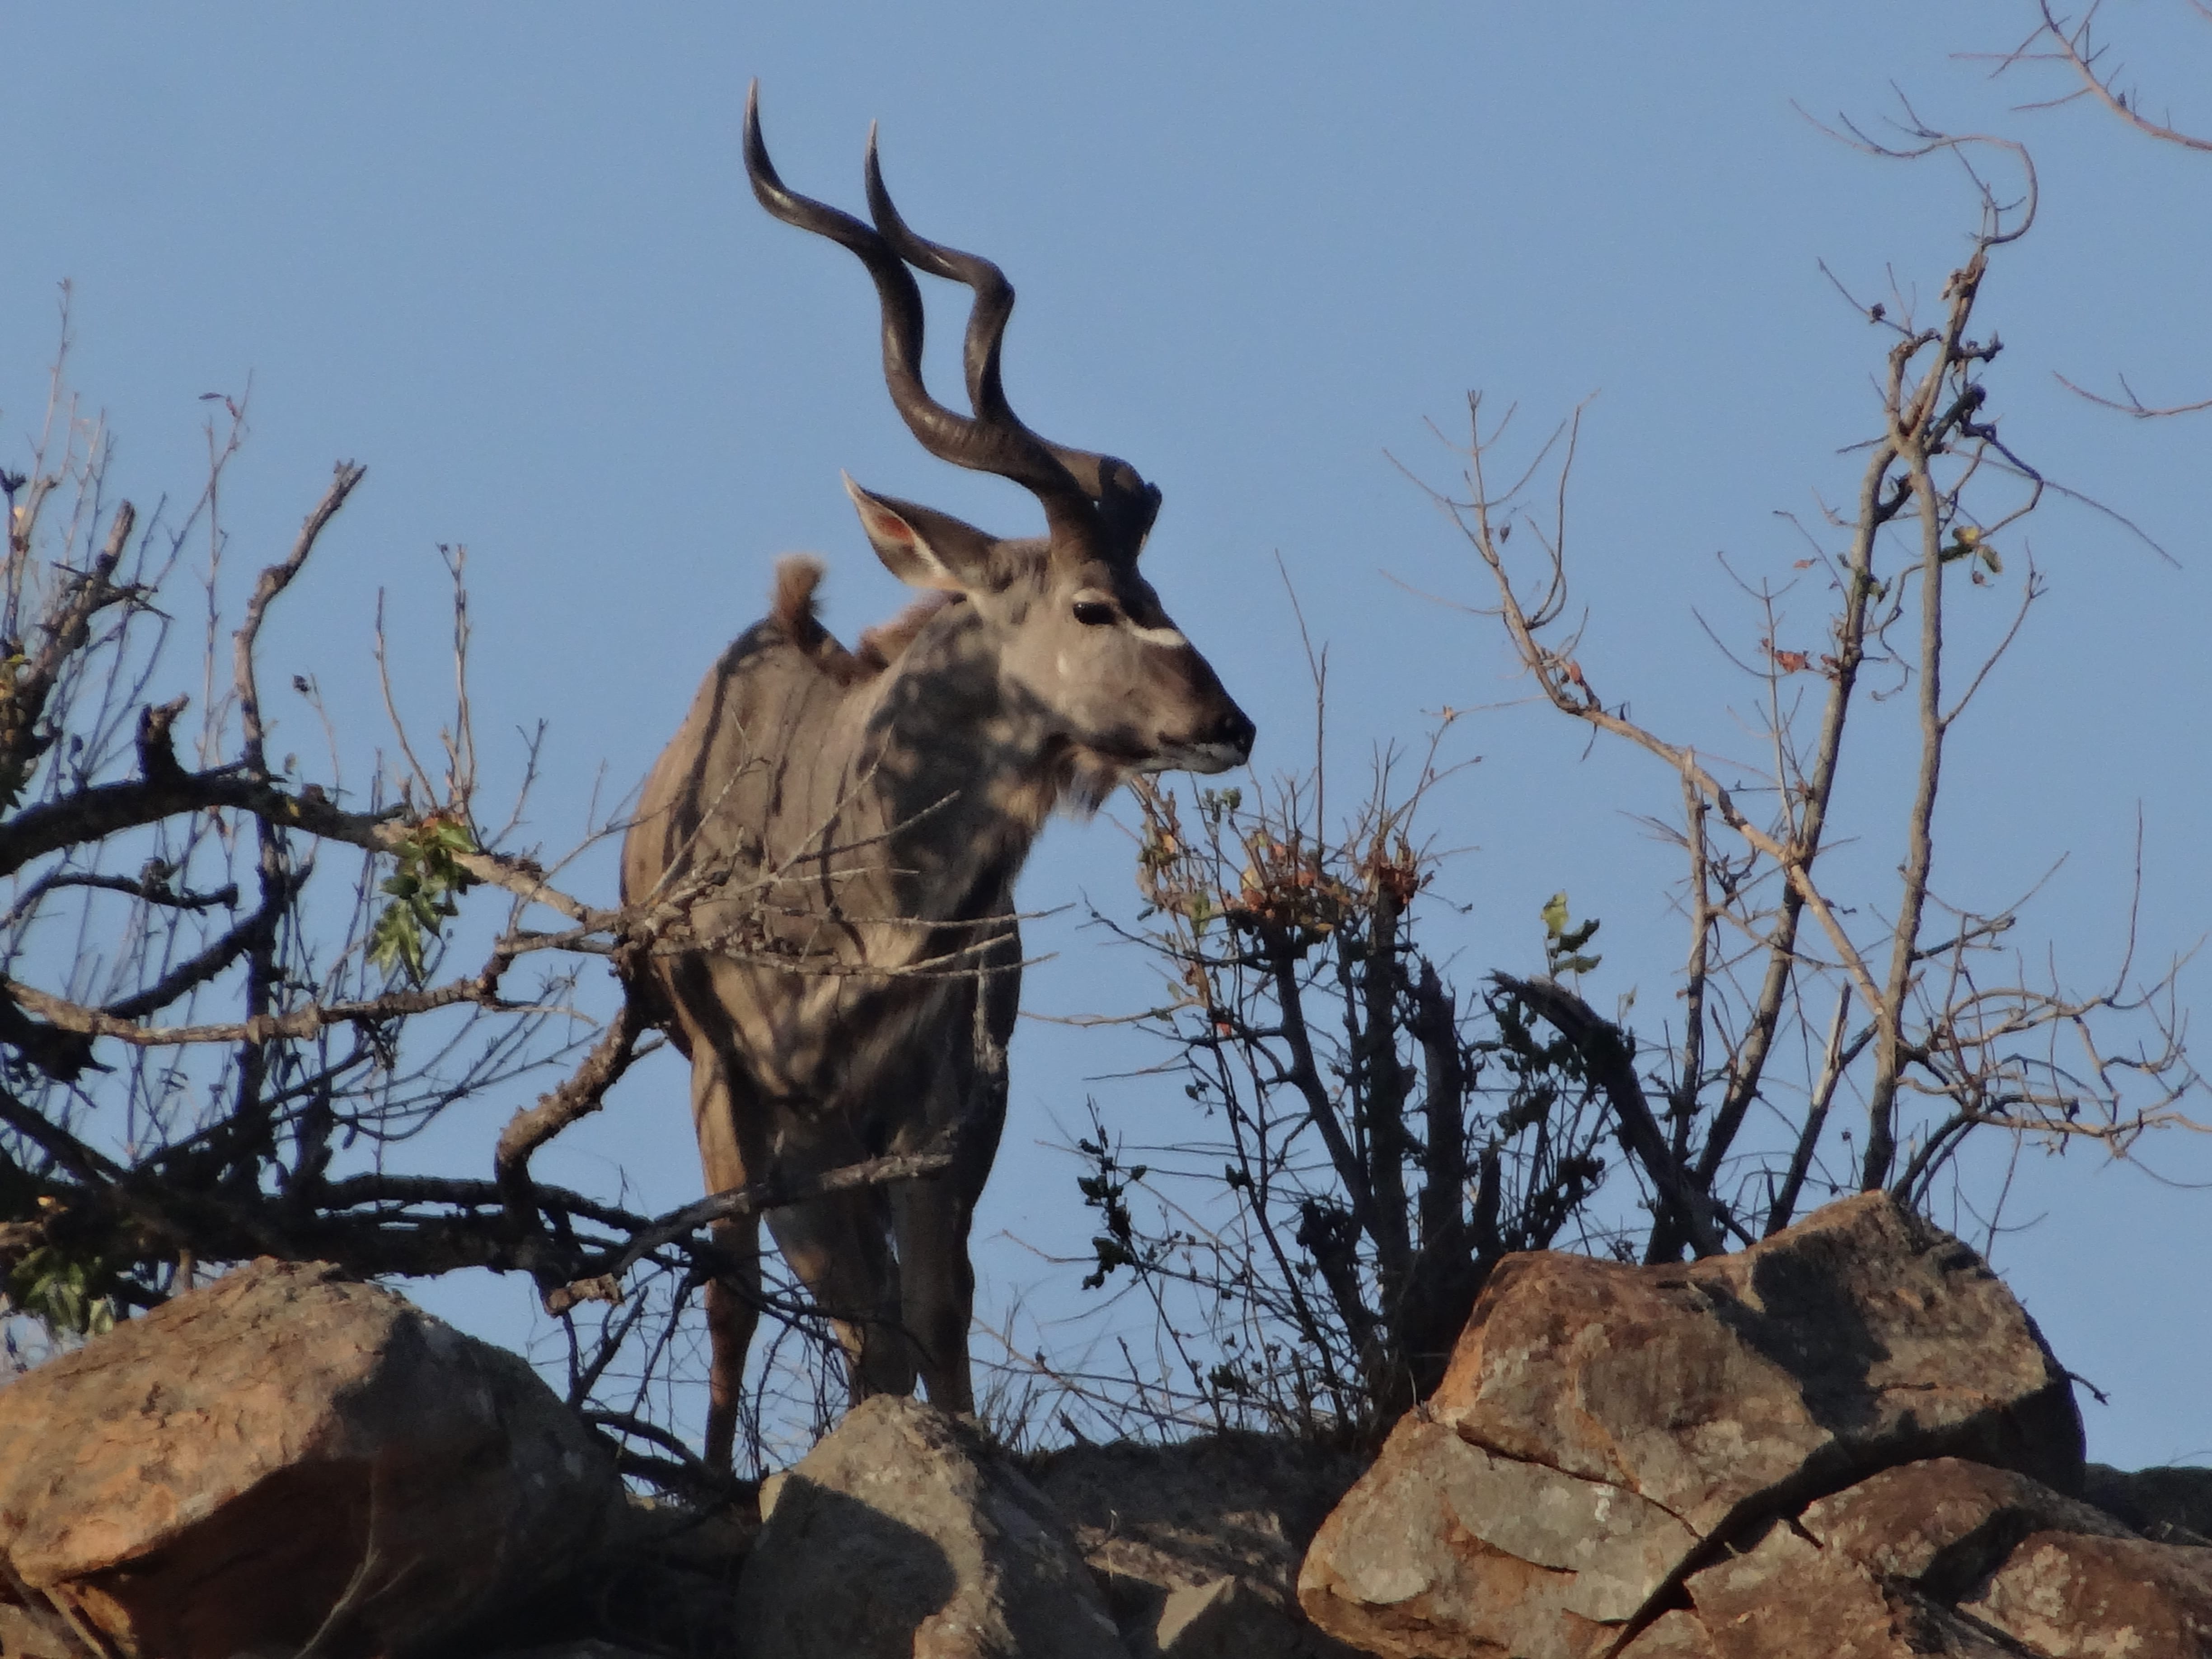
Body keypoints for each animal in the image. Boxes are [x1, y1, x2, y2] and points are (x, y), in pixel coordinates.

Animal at [621, 87, 1255, 1473]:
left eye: (1153, 588)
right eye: (1095, 603)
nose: (1227, 724)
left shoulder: (941, 1112)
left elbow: (927, 1307)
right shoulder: (739, 1093)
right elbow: (743, 1295)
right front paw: (716, 1483)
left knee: (906, 1312)